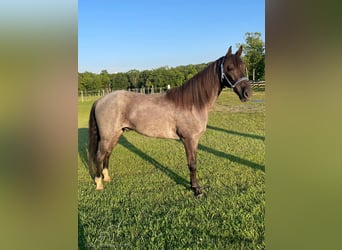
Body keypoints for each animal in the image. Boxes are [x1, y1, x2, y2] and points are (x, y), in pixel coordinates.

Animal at [88, 46, 251, 196]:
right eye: (229, 68)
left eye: (244, 67)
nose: (247, 93)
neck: (193, 103)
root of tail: (100, 100)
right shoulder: (189, 139)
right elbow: (192, 164)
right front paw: (196, 189)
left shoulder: (194, 140)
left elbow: (193, 162)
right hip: (108, 136)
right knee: (99, 156)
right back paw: (99, 183)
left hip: (116, 134)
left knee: (107, 154)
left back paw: (106, 178)